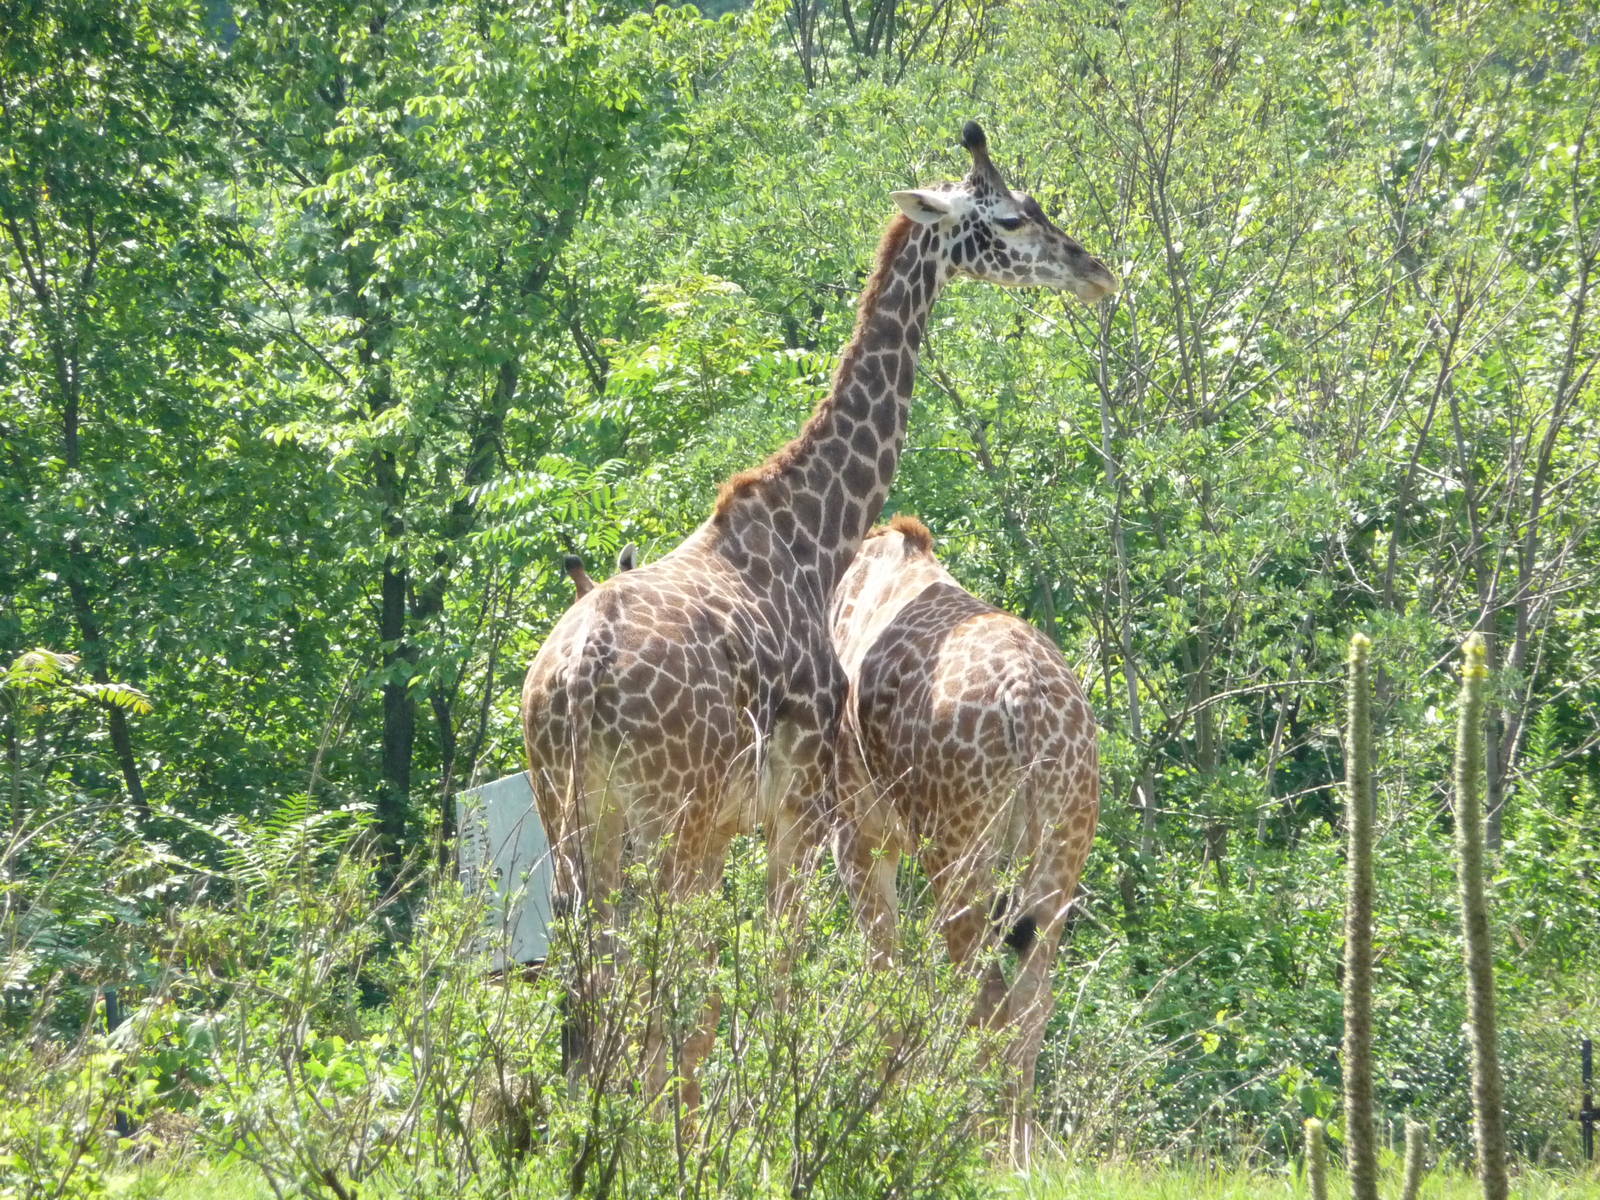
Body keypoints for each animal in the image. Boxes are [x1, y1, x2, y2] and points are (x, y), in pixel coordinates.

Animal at [829, 515, 1100, 1161]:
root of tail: (1027, 702)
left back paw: (970, 1138)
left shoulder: (857, 833)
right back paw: (1017, 1149)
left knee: (982, 993)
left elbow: (884, 970)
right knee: (1031, 1000)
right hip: (1061, 854)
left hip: (957, 847)